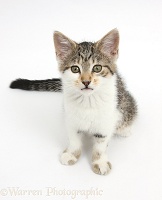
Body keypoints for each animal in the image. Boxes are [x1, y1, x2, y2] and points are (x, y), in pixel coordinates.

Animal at [9, 28, 137, 175]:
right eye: (75, 69)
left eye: (97, 68)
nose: (86, 81)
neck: (88, 101)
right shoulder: (70, 118)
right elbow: (74, 138)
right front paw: (71, 153)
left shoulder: (106, 120)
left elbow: (101, 145)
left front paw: (99, 161)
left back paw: (124, 129)